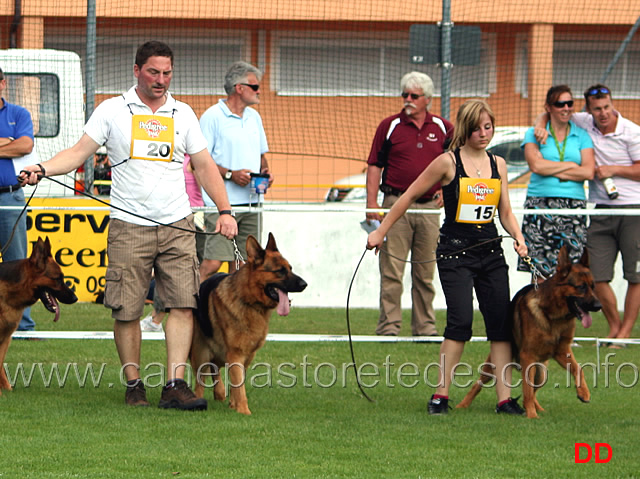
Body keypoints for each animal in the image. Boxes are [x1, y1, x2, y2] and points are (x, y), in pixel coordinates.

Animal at [191, 234, 306, 414]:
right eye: (280, 271)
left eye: (290, 268)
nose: (305, 284)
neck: (250, 302)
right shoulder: (236, 354)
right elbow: (239, 386)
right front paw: (244, 411)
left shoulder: (247, 356)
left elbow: (237, 383)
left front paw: (234, 405)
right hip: (201, 352)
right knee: (200, 380)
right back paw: (198, 399)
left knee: (215, 368)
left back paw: (219, 393)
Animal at [458, 248, 604, 420]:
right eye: (581, 287)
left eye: (593, 286)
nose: (599, 306)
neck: (553, 316)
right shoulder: (528, 356)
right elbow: (526, 391)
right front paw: (532, 416)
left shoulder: (563, 352)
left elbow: (578, 369)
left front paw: (584, 392)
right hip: (494, 367)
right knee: (478, 384)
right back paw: (463, 405)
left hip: (541, 374)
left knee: (533, 392)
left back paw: (537, 408)